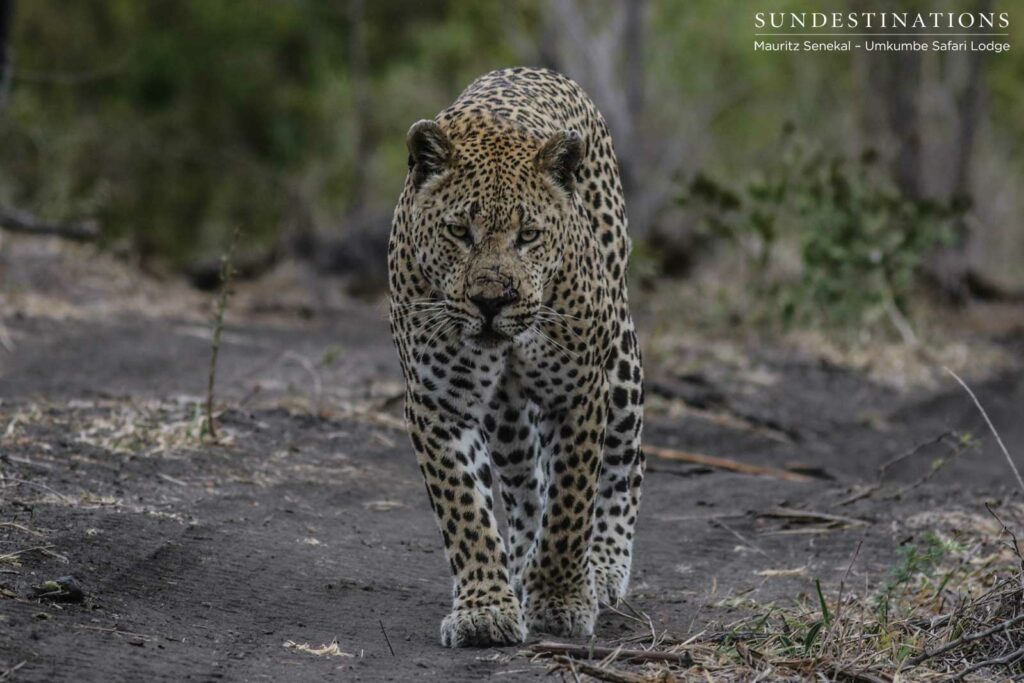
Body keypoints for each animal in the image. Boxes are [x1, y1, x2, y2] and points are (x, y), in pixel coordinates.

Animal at [387, 67, 645, 648]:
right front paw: (485, 608)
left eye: (529, 236)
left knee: (623, 463)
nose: (491, 300)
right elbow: (466, 510)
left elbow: (571, 503)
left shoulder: (578, 389)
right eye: (460, 231)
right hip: (505, 414)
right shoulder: (439, 402)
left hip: (619, 355)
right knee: (525, 482)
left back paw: (603, 567)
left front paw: (562, 598)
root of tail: (535, 70)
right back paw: (522, 564)